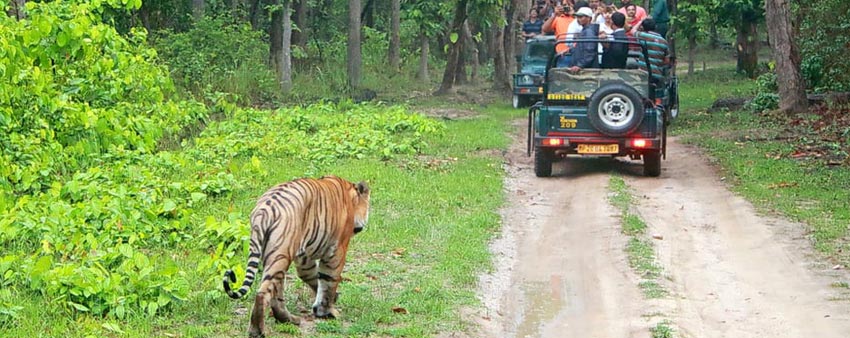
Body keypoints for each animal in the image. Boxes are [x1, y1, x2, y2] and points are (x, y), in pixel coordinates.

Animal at [224, 176, 370, 336]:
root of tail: (264, 209)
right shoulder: (337, 250)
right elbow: (329, 281)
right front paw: (328, 311)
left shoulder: (304, 256)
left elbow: (312, 276)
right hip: (281, 254)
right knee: (263, 292)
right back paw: (257, 331)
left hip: (273, 255)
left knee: (276, 292)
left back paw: (288, 319)